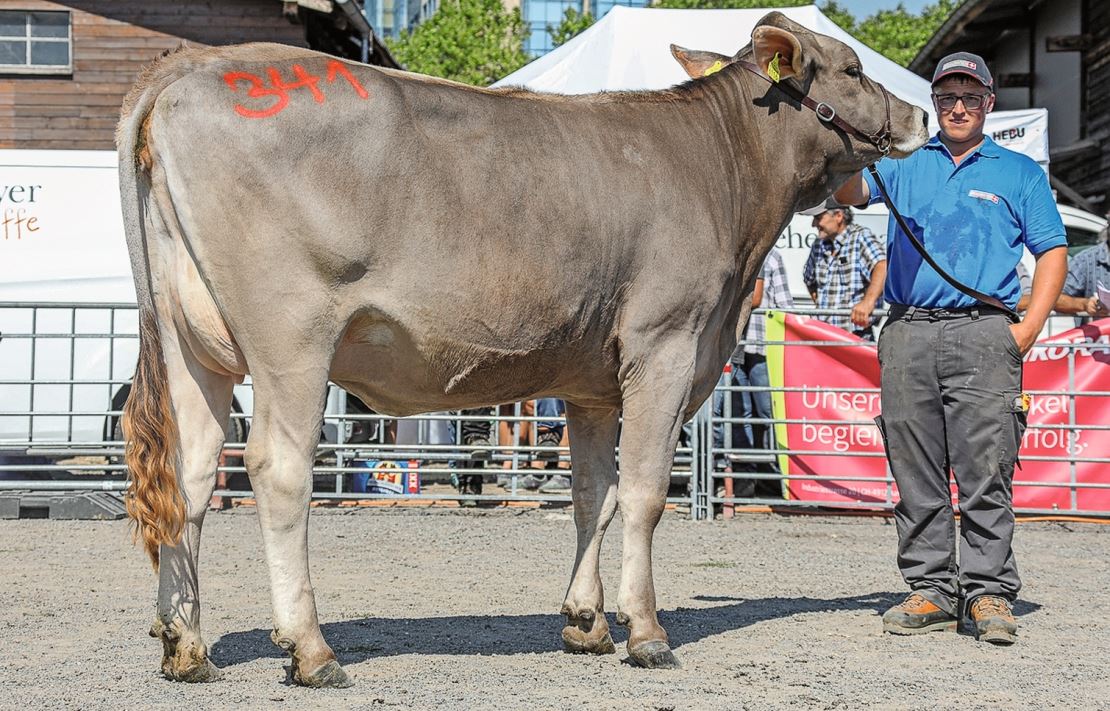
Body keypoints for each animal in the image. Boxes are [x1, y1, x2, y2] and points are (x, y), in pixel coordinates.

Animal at [117, 11, 927, 683]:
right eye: (852, 68)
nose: (920, 113)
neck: (722, 174)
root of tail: (190, 67)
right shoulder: (666, 346)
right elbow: (643, 495)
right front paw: (646, 632)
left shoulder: (593, 383)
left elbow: (592, 494)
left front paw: (586, 622)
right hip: (291, 338)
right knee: (275, 471)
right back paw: (310, 650)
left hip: (194, 344)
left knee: (189, 474)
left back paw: (184, 643)